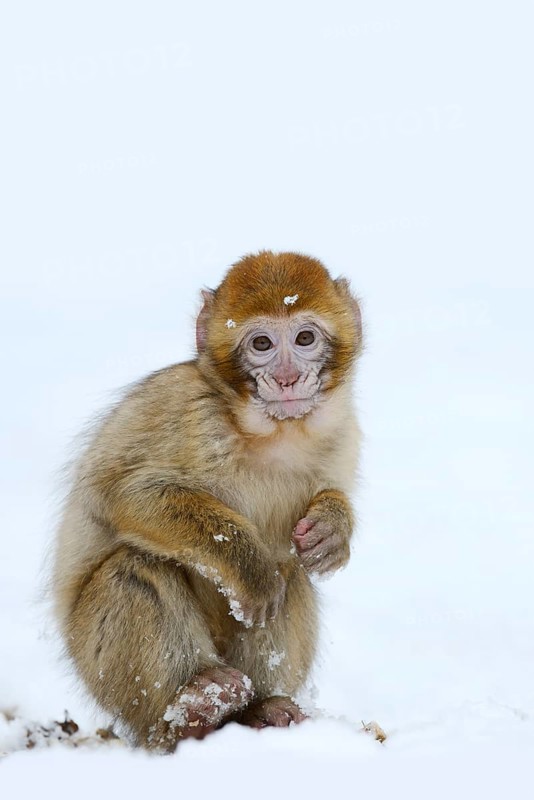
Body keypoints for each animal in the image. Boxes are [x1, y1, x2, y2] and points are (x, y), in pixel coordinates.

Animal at [51, 250, 363, 752]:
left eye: (305, 337)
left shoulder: (343, 431)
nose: (287, 377)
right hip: (99, 671)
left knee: (291, 571)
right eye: (261, 343)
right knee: (133, 568)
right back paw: (191, 709)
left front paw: (332, 528)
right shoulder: (188, 413)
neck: (272, 433)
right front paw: (250, 571)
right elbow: (130, 495)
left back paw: (261, 710)